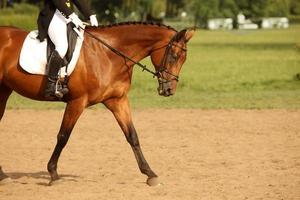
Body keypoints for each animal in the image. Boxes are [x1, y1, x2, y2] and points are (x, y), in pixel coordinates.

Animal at [0, 21, 195, 186]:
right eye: (174, 56)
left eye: (183, 59)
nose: (169, 90)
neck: (108, 54)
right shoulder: (77, 102)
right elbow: (63, 136)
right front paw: (53, 174)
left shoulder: (117, 100)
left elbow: (132, 136)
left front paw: (150, 174)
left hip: (4, 90)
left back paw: (3, 176)